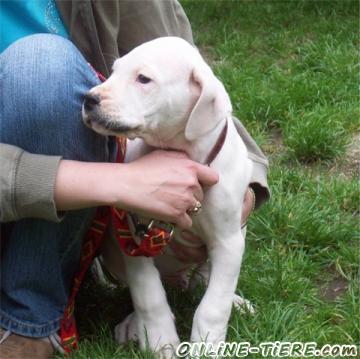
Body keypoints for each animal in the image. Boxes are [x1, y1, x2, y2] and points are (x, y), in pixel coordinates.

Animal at [83, 38, 253, 358]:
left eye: (143, 79)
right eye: (114, 71)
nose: (88, 99)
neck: (183, 153)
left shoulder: (228, 240)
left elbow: (214, 304)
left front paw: (206, 345)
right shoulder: (133, 238)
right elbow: (148, 294)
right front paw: (160, 341)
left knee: (204, 280)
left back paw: (235, 301)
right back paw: (133, 326)